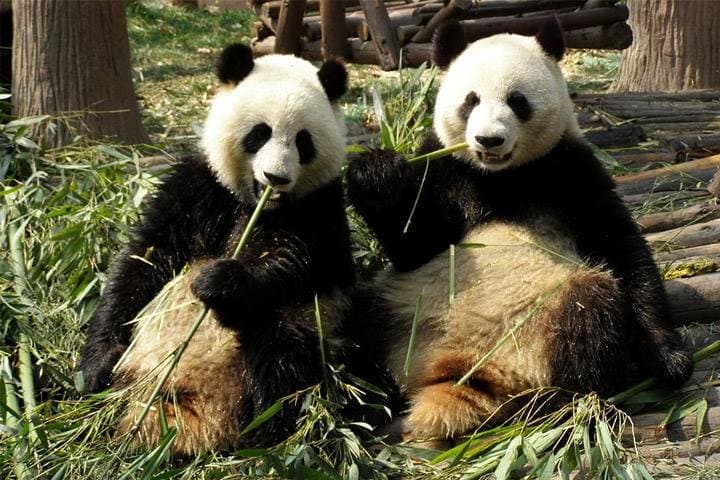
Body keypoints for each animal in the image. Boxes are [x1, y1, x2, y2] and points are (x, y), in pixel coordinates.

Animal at [78, 44, 359, 455]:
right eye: (260, 133)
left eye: (303, 141)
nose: (275, 178)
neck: (257, 205)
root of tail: (195, 417)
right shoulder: (201, 185)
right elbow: (144, 259)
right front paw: (97, 366)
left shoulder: (319, 207)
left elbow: (301, 262)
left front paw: (217, 282)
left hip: (302, 332)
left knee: (282, 352)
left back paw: (268, 426)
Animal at [345, 20, 693, 443]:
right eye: (471, 100)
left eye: (517, 101)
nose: (488, 139)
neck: (501, 177)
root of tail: (464, 371)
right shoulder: (447, 172)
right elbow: (416, 243)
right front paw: (377, 173)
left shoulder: (569, 170)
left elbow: (622, 248)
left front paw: (670, 359)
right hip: (401, 308)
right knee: (355, 328)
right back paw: (360, 401)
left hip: (547, 318)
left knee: (590, 312)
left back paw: (557, 404)